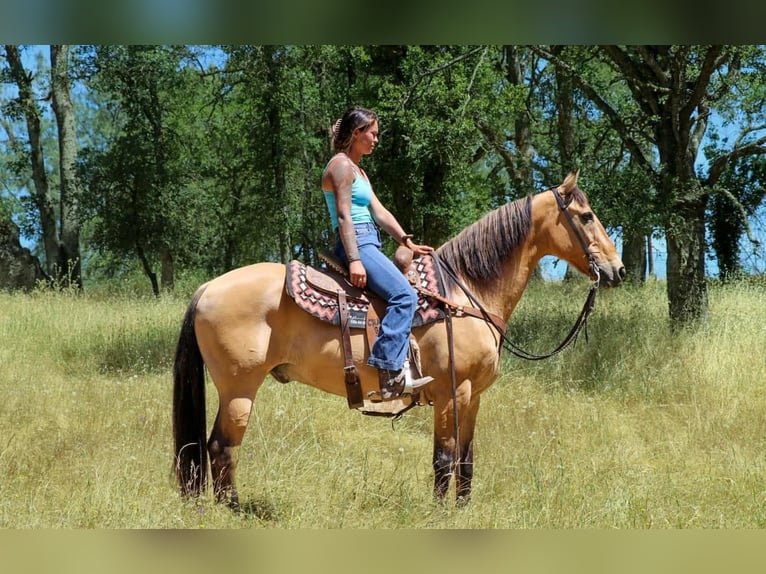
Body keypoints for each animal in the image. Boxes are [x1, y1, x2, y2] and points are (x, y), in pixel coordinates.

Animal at [172, 171, 624, 508]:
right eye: (586, 216)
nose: (617, 270)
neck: (465, 293)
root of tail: (208, 288)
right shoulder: (452, 392)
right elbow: (444, 457)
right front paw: (442, 514)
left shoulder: (474, 396)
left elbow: (466, 459)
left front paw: (463, 509)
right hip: (239, 388)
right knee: (221, 447)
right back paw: (232, 509)